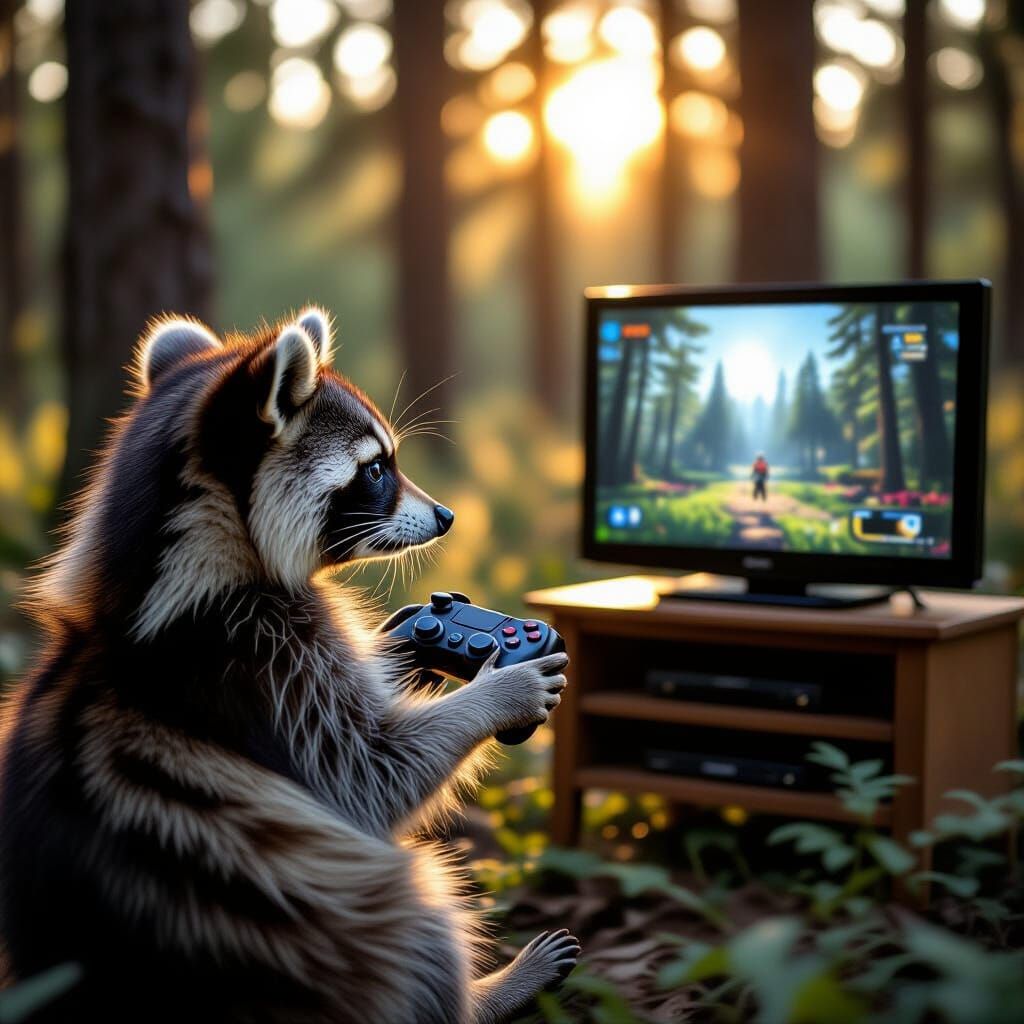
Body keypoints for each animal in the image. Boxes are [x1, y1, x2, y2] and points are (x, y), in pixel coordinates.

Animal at [0, 310, 578, 1023]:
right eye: (375, 469)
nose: (449, 516)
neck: (158, 572)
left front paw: (411, 646)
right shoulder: (260, 664)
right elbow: (371, 775)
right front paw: (501, 688)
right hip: (337, 935)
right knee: (418, 912)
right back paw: (486, 997)